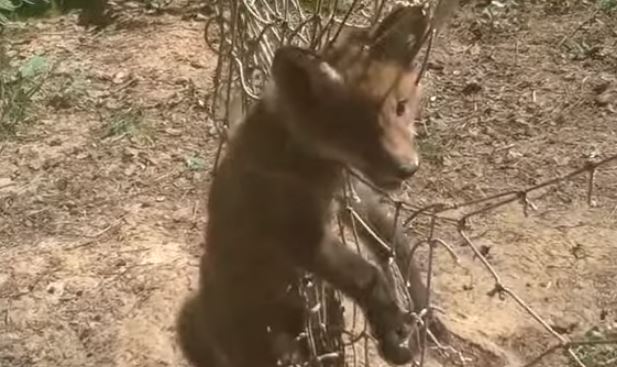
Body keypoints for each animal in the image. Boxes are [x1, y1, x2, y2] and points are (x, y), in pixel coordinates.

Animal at [176, 5, 440, 367]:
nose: (408, 168)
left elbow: (393, 245)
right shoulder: (299, 234)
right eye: (354, 128)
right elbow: (368, 274)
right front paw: (394, 329)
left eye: (401, 107)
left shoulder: (354, 199)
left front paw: (420, 314)